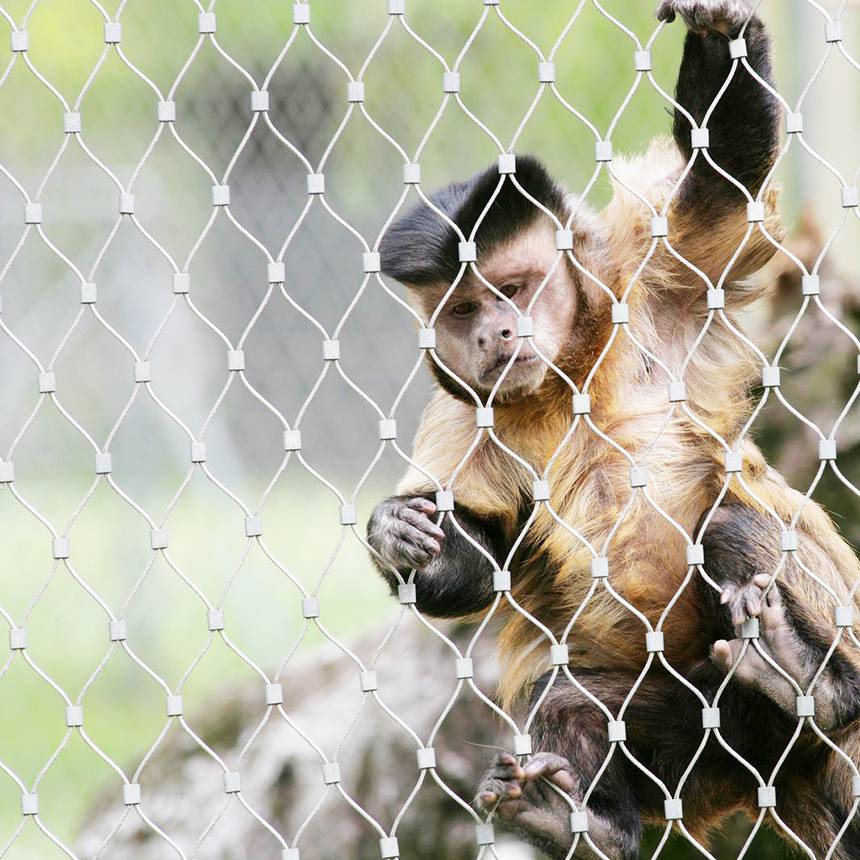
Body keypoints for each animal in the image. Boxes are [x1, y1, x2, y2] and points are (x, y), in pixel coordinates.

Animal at [364, 3, 860, 856]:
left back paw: (814, 685)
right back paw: (577, 820)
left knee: (733, 524)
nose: (497, 334)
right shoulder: (465, 413)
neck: (565, 376)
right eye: (463, 310)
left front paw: (719, 31)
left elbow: (721, 185)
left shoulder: (645, 281)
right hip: (699, 743)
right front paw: (396, 535)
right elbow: (479, 557)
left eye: (514, 289)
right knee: (570, 698)